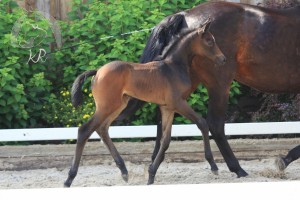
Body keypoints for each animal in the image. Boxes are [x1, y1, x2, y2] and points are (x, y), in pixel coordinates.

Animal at [65, 21, 225, 186]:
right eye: (209, 41)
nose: (223, 59)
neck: (173, 67)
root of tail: (97, 72)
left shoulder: (167, 107)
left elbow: (165, 140)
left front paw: (151, 174)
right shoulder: (179, 103)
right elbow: (202, 123)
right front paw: (213, 166)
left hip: (118, 105)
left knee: (102, 129)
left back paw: (124, 171)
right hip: (106, 106)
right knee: (84, 130)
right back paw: (69, 178)